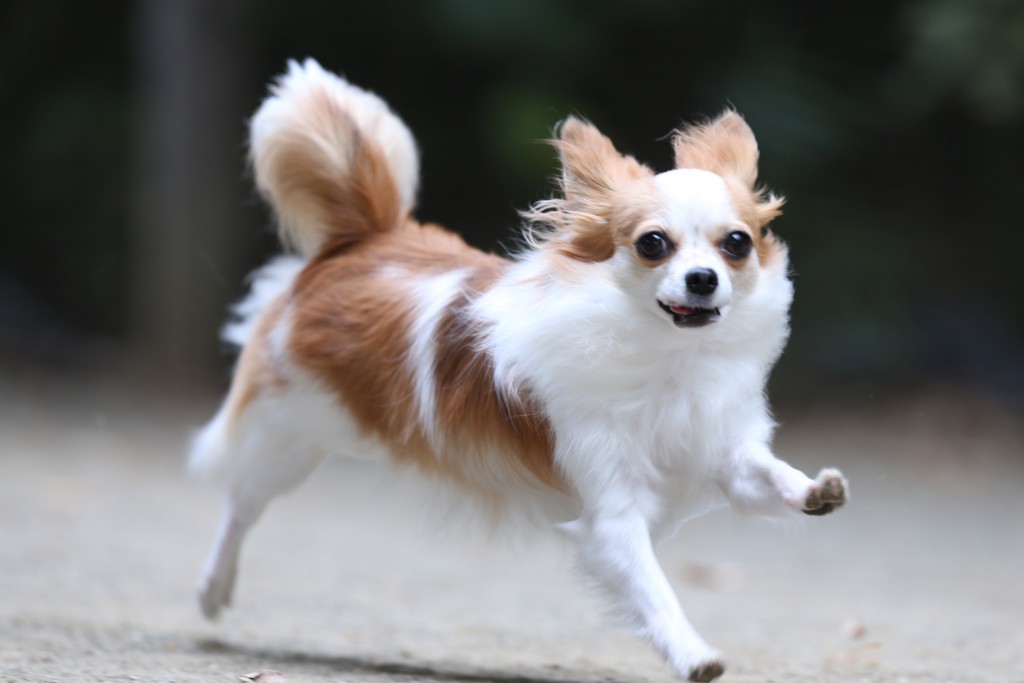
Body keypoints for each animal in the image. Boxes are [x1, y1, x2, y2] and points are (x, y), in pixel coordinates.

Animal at [191, 58, 848, 682]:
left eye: (736, 243)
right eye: (653, 244)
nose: (704, 278)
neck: (668, 358)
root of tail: (367, 239)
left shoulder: (716, 450)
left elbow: (765, 473)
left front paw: (814, 489)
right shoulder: (612, 512)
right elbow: (653, 589)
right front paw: (692, 654)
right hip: (292, 435)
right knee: (240, 505)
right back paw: (211, 589)